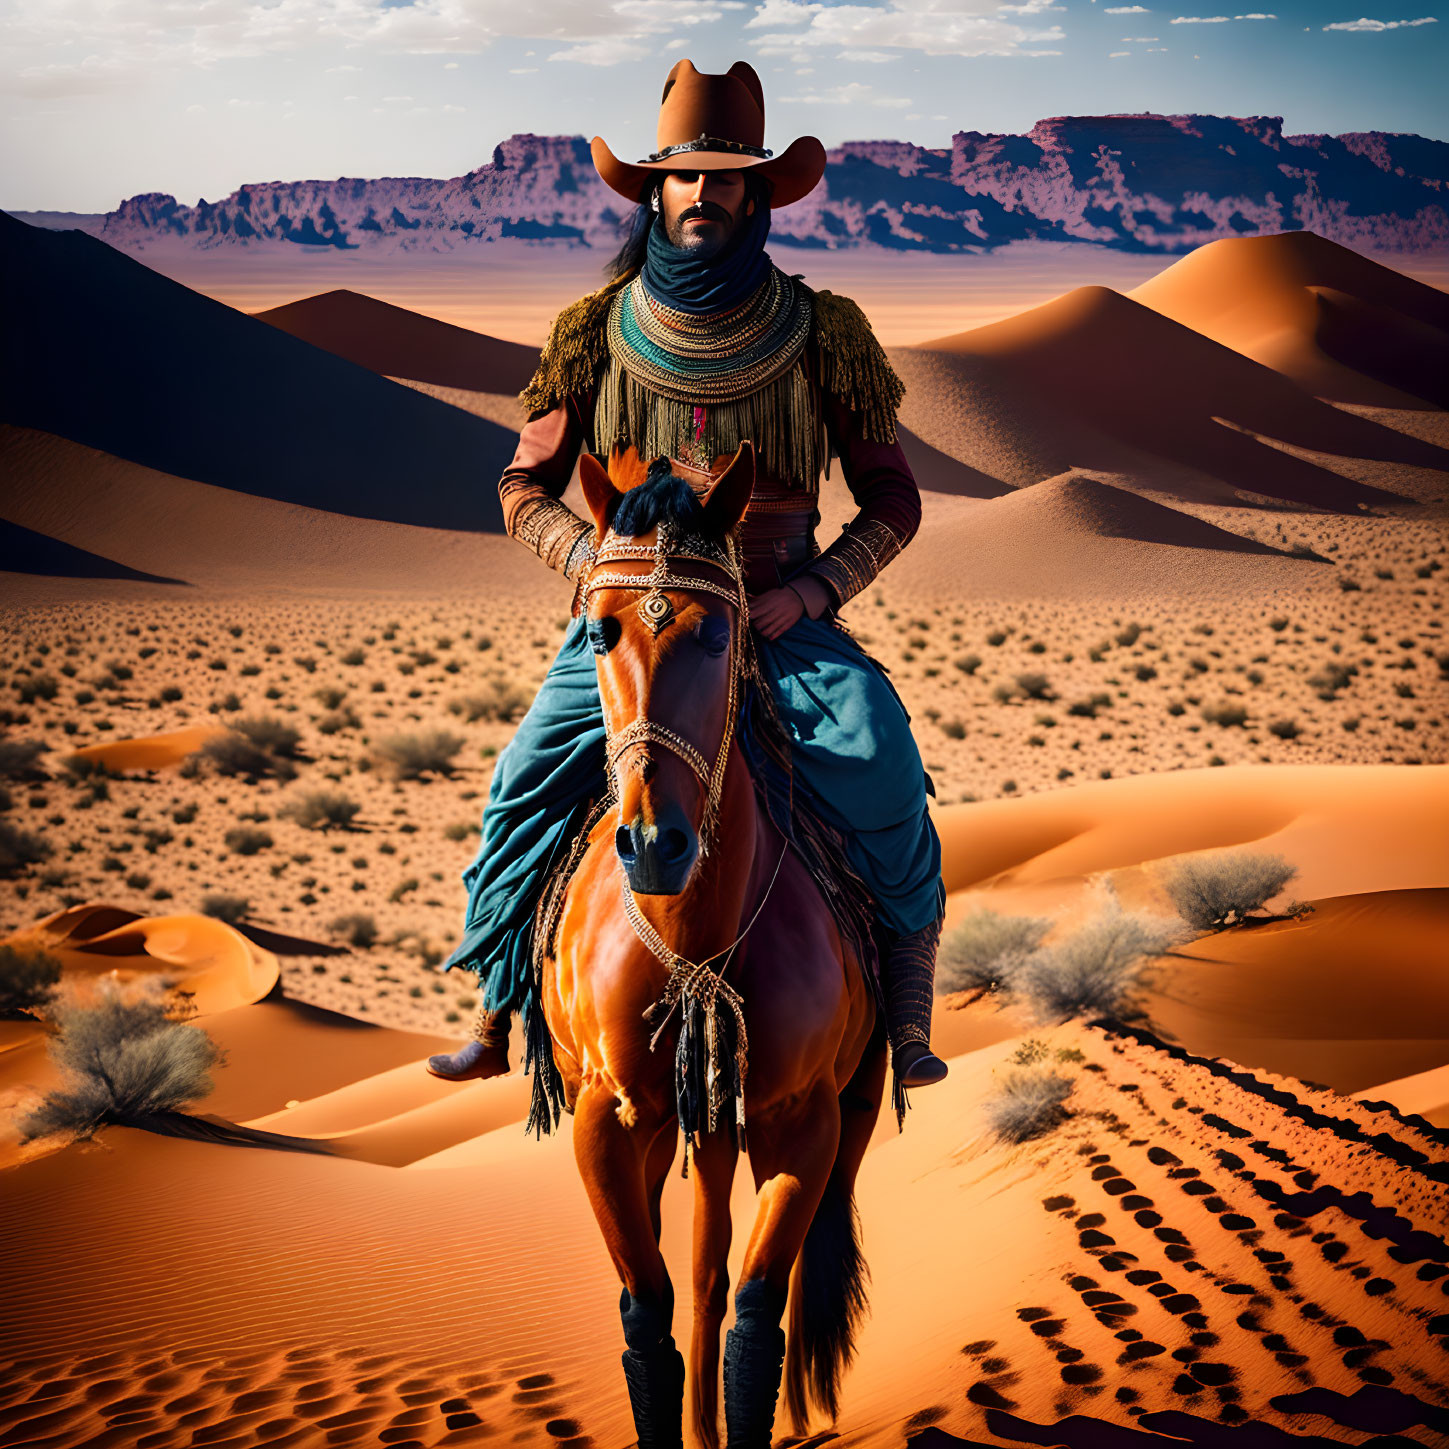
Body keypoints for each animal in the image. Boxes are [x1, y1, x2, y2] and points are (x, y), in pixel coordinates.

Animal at [536, 443, 880, 1449]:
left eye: (719, 636)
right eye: (599, 632)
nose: (656, 843)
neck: (698, 940)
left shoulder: (803, 1120)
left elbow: (757, 1310)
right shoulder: (605, 1120)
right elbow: (646, 1306)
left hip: (838, 1109)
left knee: (753, 1275)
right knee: (692, 1270)